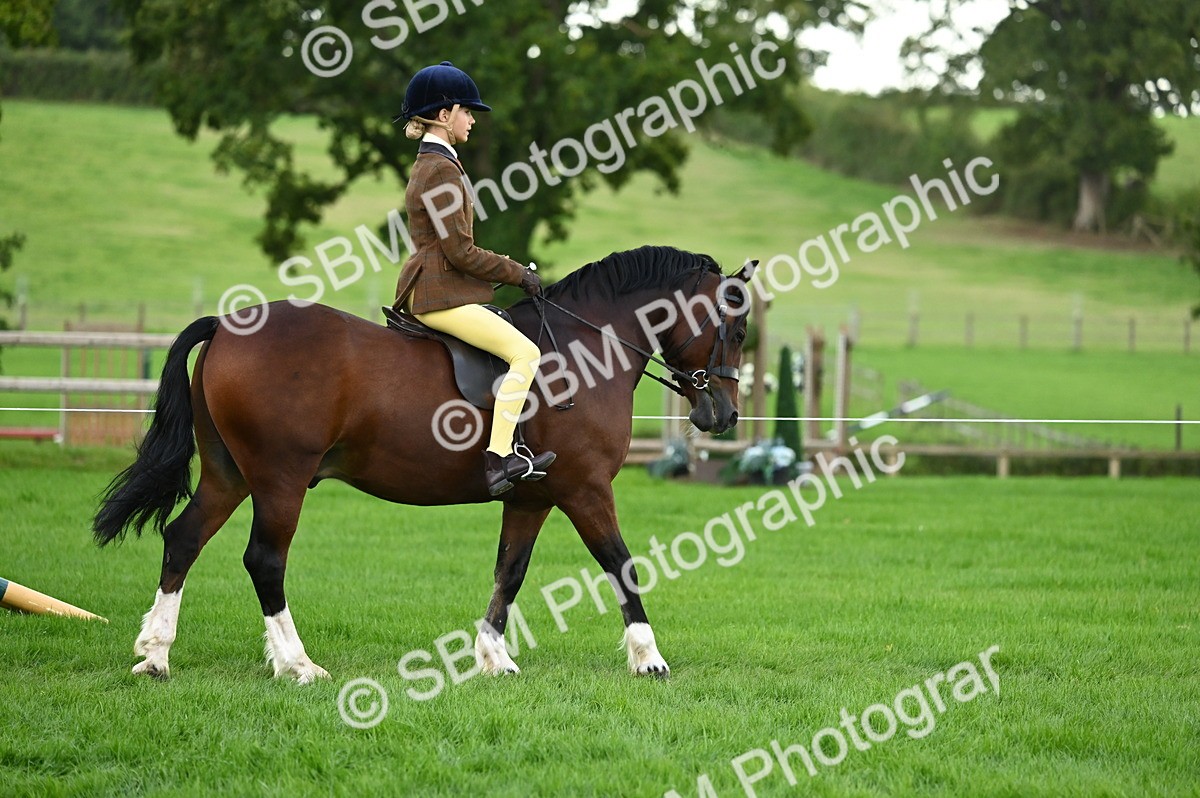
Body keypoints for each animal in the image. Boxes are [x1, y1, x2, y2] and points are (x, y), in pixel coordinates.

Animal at [92, 245, 757, 683]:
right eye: (737, 328)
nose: (723, 414)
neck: (584, 349)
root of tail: (227, 326)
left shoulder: (532, 496)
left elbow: (509, 572)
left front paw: (493, 659)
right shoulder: (585, 488)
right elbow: (620, 565)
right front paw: (650, 659)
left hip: (229, 474)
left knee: (183, 539)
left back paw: (155, 654)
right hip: (281, 479)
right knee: (264, 560)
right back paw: (298, 665)